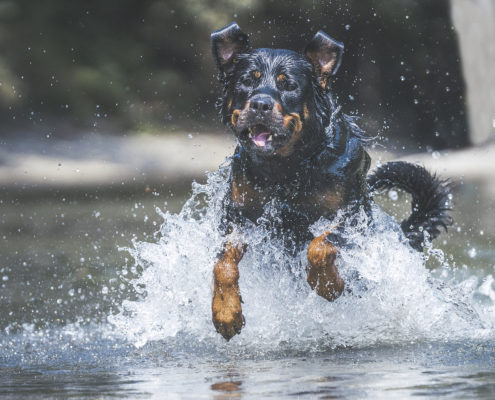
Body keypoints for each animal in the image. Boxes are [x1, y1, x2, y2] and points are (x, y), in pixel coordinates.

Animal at [209, 22, 454, 340]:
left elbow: (320, 246)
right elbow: (222, 264)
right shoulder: (237, 214)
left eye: (289, 86)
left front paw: (327, 284)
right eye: (246, 82)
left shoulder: (351, 213)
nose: (261, 104)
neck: (286, 170)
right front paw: (226, 312)